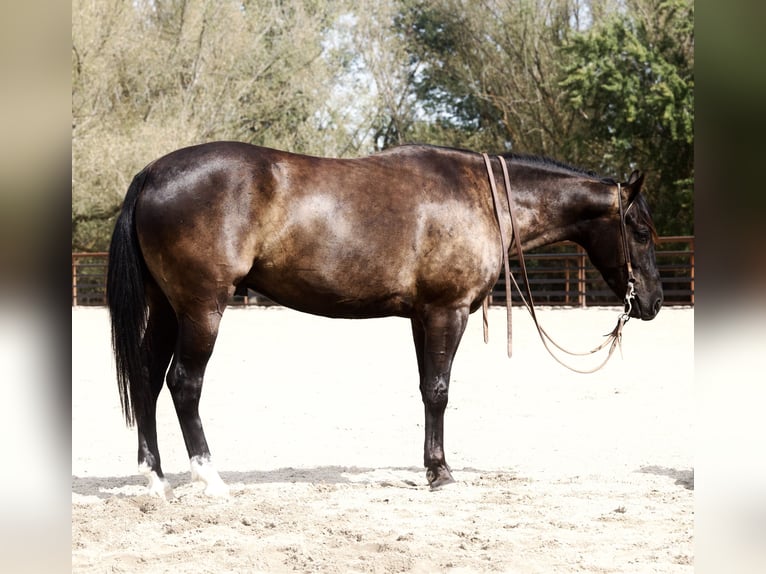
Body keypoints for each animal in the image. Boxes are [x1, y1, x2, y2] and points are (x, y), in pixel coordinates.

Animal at [106, 142, 663, 499]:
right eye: (640, 231)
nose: (652, 302)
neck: (484, 199)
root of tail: (152, 173)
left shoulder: (422, 316)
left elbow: (425, 389)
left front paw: (432, 466)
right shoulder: (446, 311)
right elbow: (439, 390)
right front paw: (442, 474)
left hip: (166, 309)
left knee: (147, 381)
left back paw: (155, 479)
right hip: (202, 308)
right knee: (184, 383)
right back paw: (210, 478)